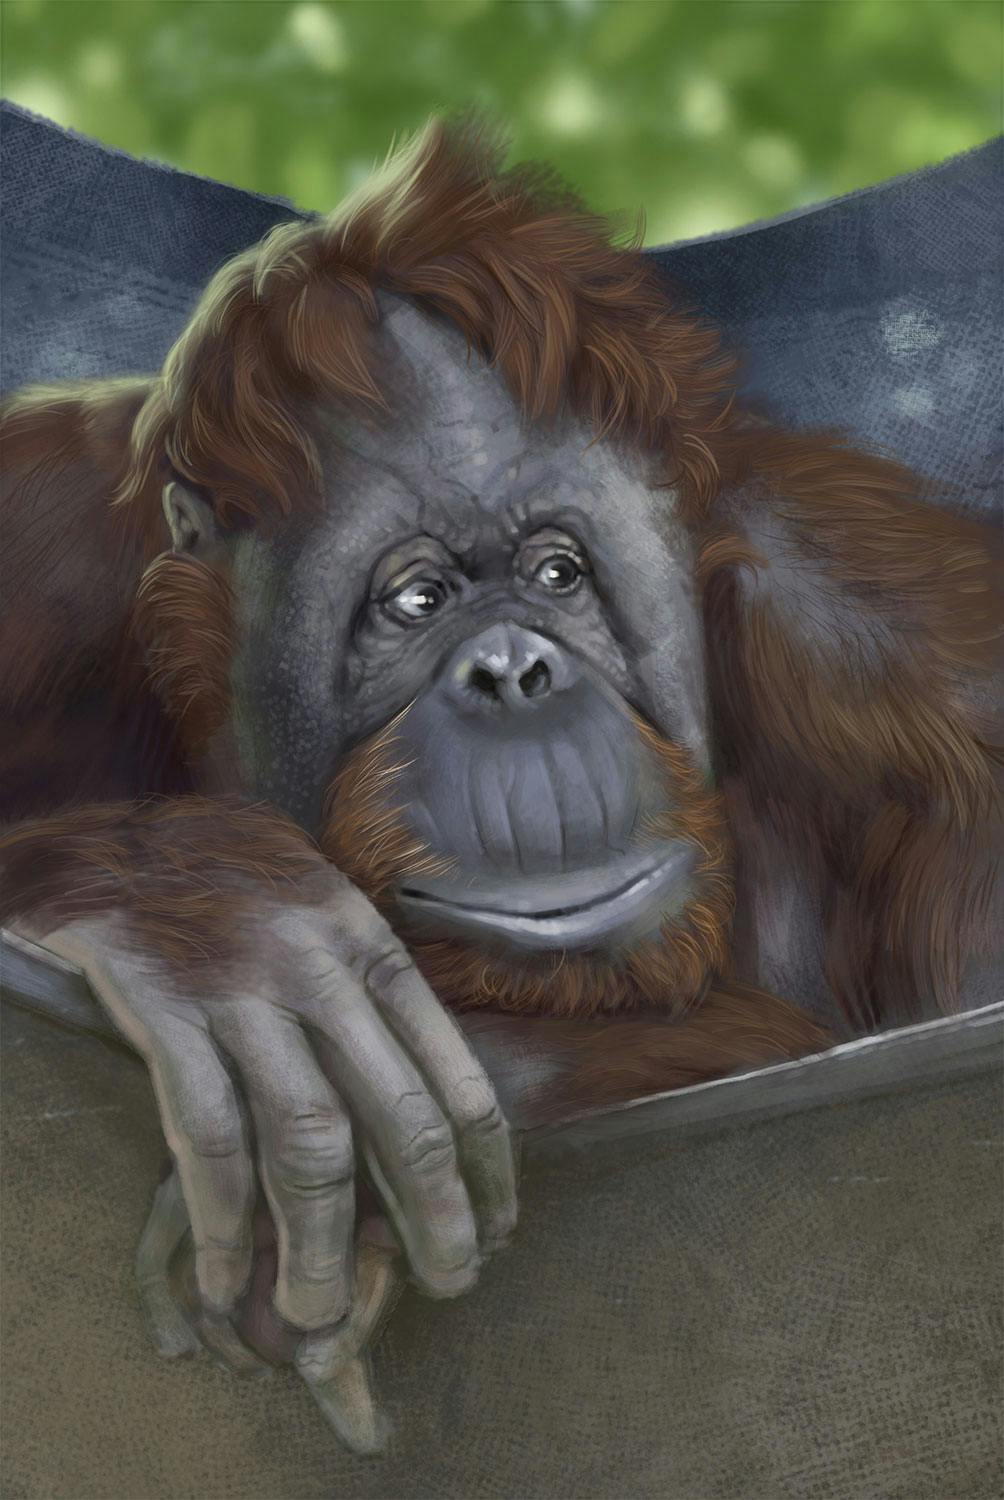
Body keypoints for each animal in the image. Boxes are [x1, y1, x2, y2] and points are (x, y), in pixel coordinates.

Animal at [1, 117, 1000, 1451]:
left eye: (559, 573)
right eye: (417, 598)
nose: (516, 671)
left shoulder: (896, 651)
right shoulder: (41, 550)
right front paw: (225, 927)